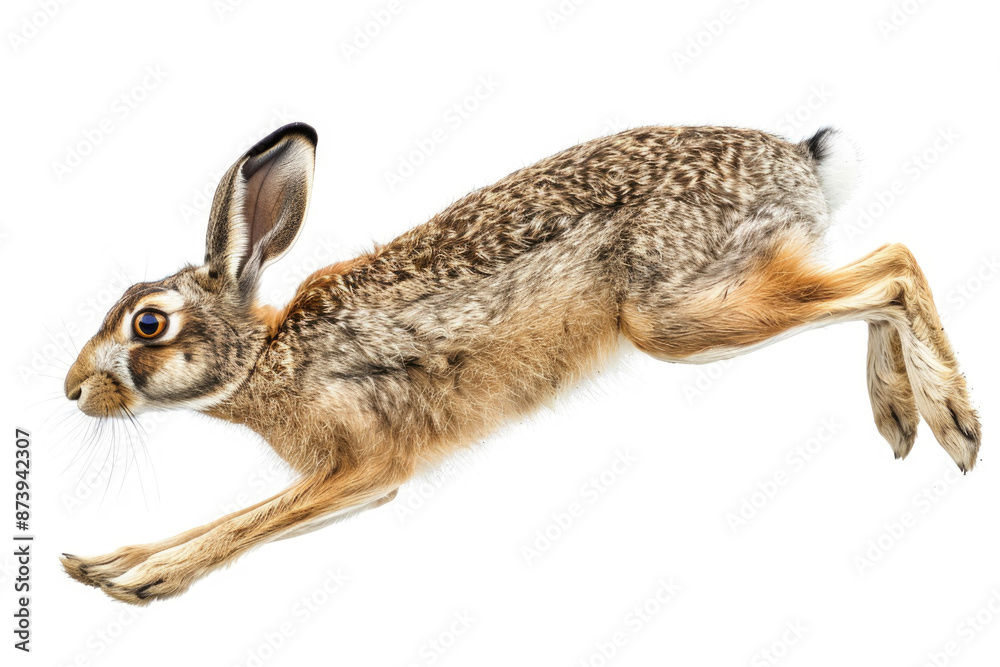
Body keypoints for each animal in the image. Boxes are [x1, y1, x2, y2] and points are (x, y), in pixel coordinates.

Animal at [61, 122, 980, 604]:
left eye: (148, 323)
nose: (71, 390)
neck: (264, 358)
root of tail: (802, 159)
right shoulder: (340, 477)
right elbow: (231, 516)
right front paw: (102, 563)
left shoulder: (365, 467)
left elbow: (248, 521)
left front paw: (147, 579)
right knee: (878, 274)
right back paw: (900, 412)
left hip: (676, 310)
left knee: (894, 267)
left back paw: (952, 421)